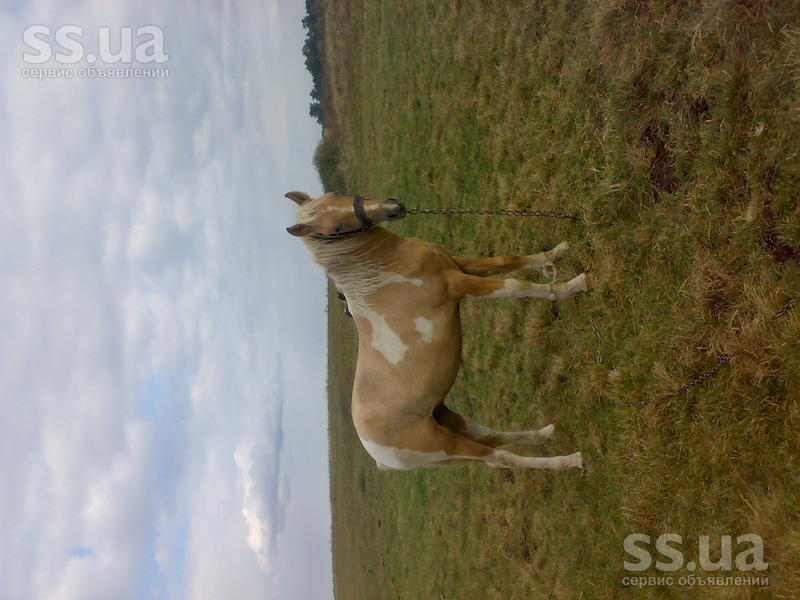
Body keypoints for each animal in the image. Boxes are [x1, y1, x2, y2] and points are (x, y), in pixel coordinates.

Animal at [286, 191, 592, 471]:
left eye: (337, 194)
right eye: (334, 230)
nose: (393, 206)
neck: (384, 274)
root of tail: (379, 457)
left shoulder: (459, 264)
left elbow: (508, 261)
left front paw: (556, 254)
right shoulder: (458, 284)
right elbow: (516, 285)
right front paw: (573, 286)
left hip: (449, 418)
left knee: (493, 436)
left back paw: (546, 433)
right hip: (447, 447)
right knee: (501, 458)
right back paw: (569, 461)